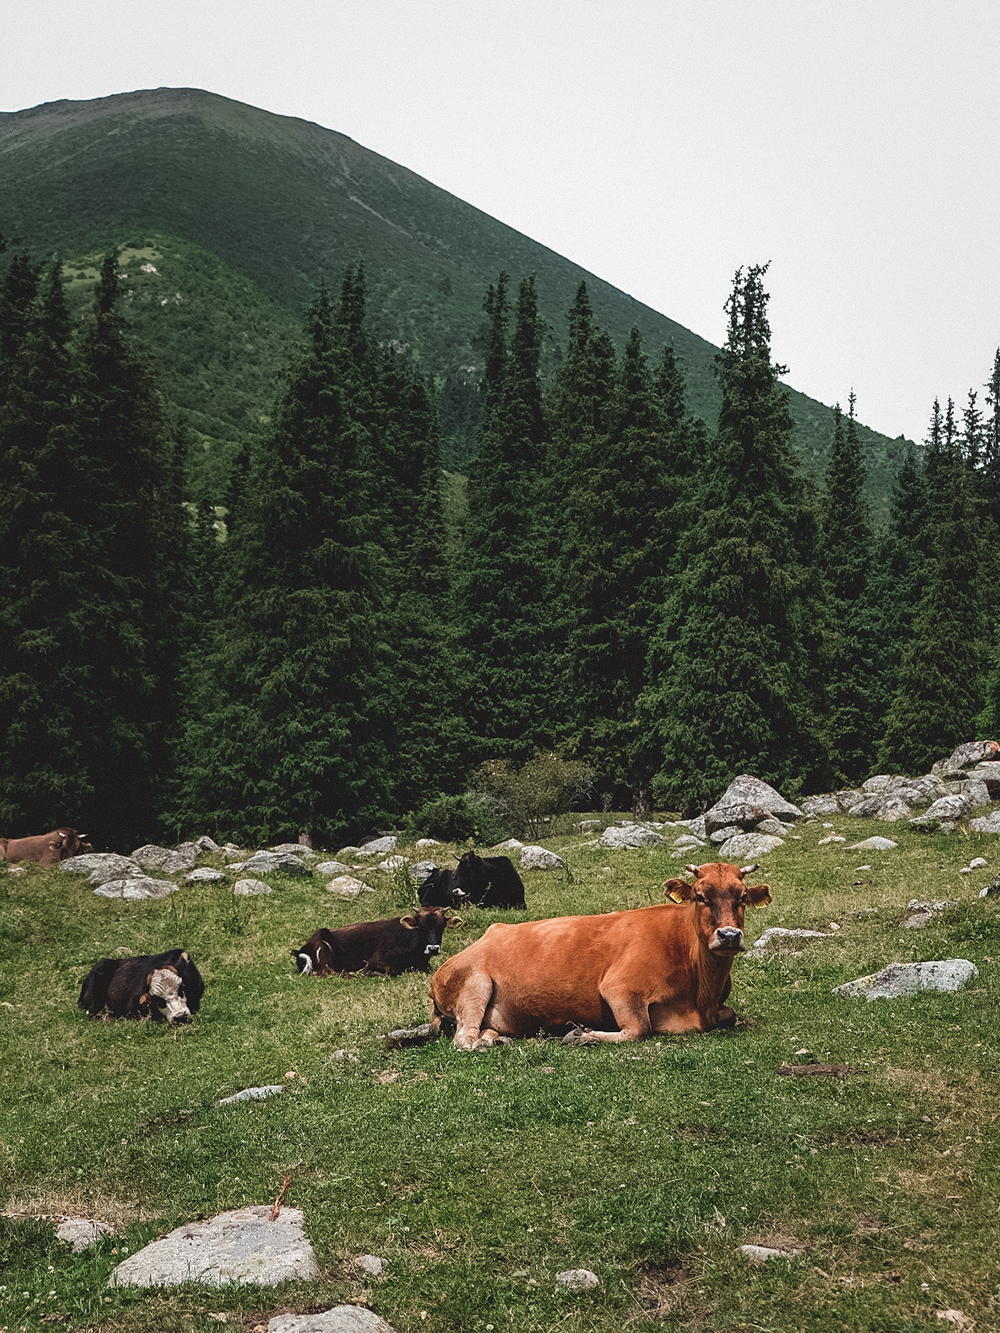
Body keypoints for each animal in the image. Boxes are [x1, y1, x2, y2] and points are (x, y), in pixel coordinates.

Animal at [426, 863, 773, 1050]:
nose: (729, 935)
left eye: (742, 897)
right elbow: (639, 1029)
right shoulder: (620, 987)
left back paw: (495, 1040)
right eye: (701, 896)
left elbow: (730, 1015)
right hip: (475, 982)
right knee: (463, 1038)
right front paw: (583, 1035)